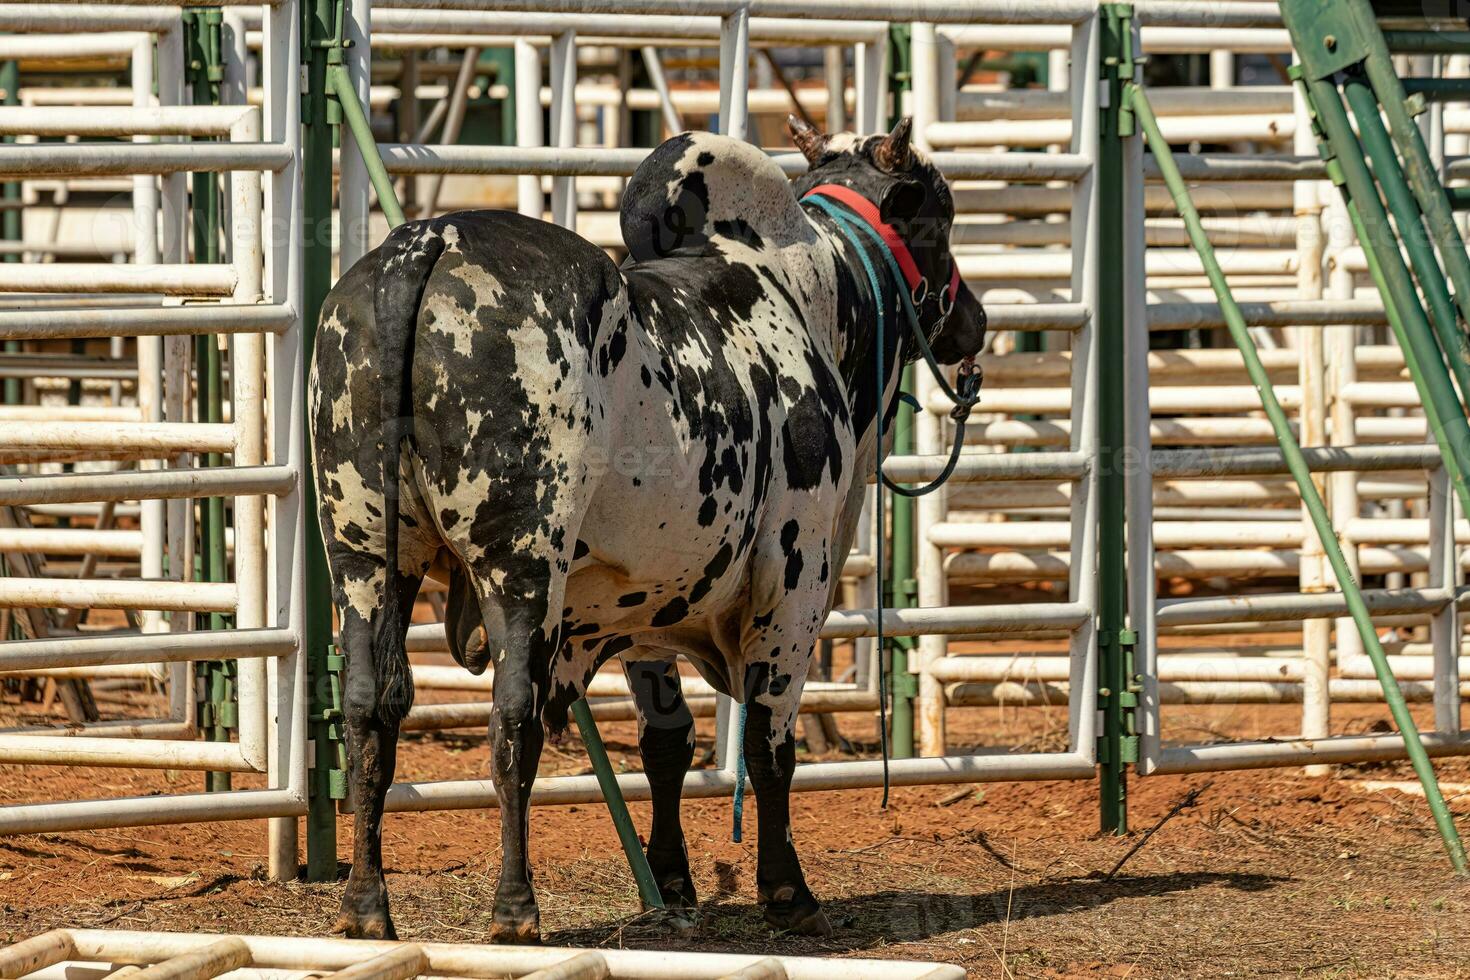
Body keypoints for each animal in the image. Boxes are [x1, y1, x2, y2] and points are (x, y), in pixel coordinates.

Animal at [316, 115, 993, 940]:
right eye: (938, 222)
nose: (974, 322)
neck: (804, 291)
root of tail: (427, 242)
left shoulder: (640, 606)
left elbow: (667, 743)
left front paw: (670, 880)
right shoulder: (793, 578)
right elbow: (770, 741)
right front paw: (786, 889)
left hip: (363, 556)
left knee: (367, 711)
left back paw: (365, 905)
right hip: (521, 566)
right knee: (512, 721)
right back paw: (515, 907)